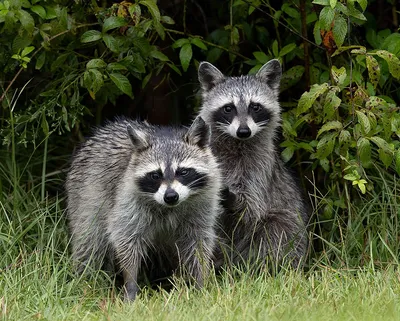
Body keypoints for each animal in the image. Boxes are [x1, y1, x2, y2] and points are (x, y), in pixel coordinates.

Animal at [65, 117, 222, 300]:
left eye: (183, 172)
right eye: (155, 175)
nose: (171, 196)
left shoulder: (202, 206)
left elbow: (198, 243)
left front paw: (200, 283)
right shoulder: (126, 201)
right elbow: (126, 240)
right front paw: (131, 284)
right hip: (85, 198)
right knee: (90, 241)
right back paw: (86, 279)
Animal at [197, 59, 310, 268]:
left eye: (255, 107)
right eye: (228, 108)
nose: (243, 131)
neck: (238, 143)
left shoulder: (260, 165)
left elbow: (253, 208)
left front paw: (234, 199)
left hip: (289, 223)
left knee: (276, 232)